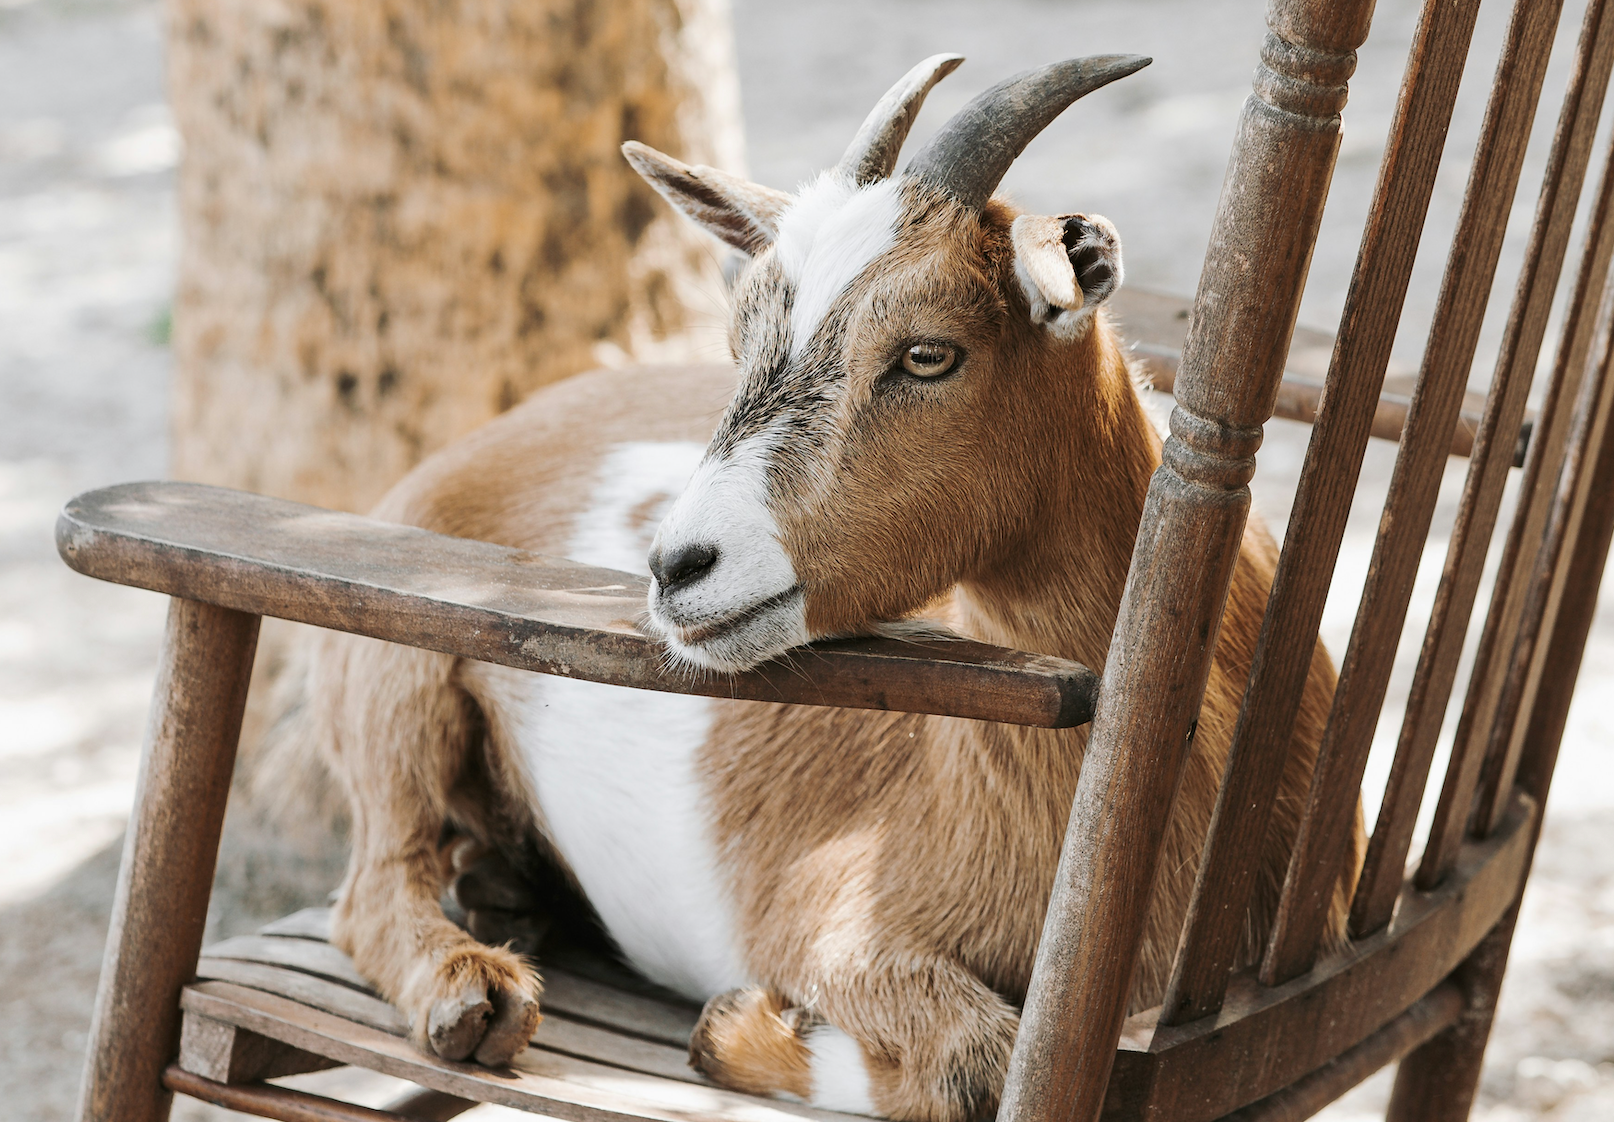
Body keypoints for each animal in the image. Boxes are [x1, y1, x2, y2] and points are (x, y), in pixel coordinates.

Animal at [297, 54, 1359, 1122]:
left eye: (927, 352)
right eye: (739, 343)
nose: (675, 567)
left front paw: (740, 1031)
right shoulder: (824, 913)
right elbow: (972, 1060)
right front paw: (738, 1028)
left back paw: (504, 893)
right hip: (389, 685)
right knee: (373, 880)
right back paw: (471, 990)